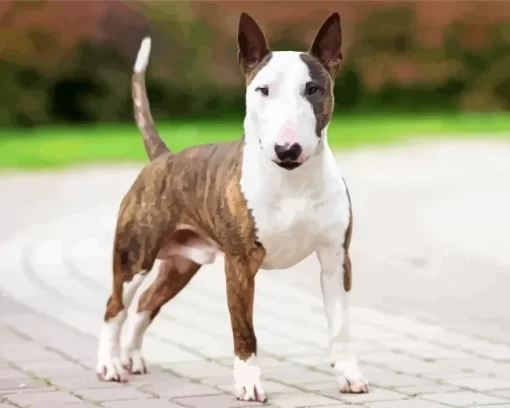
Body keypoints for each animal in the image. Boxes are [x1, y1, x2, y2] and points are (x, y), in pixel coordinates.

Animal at [94, 11, 366, 402]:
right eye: (262, 90)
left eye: (313, 89)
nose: (287, 149)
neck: (292, 181)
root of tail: (163, 157)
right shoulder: (239, 264)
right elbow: (244, 330)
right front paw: (249, 384)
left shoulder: (335, 259)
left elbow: (340, 326)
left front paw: (349, 376)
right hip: (135, 257)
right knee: (115, 306)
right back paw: (110, 365)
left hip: (180, 265)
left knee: (146, 303)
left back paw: (132, 358)